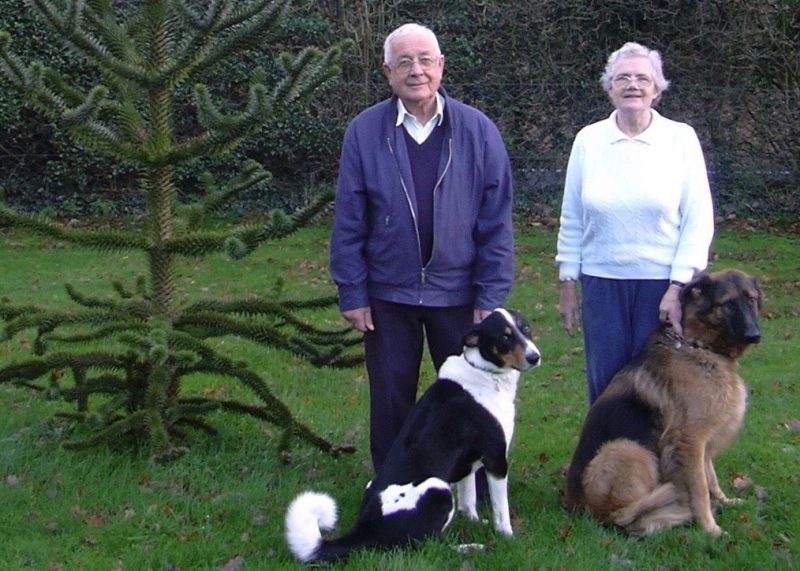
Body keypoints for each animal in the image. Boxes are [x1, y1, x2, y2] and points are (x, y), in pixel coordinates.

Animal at [284, 308, 540, 564]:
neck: (484, 372)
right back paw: (471, 548)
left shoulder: (468, 464)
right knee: (426, 545)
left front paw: (474, 522)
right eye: (505, 337)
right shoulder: (496, 459)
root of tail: (366, 529)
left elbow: (468, 501)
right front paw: (507, 536)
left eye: (525, 328)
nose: (535, 357)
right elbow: (501, 509)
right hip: (438, 489)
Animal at [564, 270, 760, 540]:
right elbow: (700, 487)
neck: (698, 344)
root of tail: (579, 507)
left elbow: (710, 476)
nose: (755, 335)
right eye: (729, 304)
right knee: (624, 515)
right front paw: (710, 529)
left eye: (751, 300)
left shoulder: (702, 439)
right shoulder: (689, 439)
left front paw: (725, 500)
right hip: (626, 448)